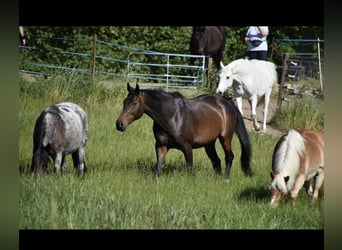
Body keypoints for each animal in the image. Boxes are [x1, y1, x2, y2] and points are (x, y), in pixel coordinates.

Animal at [116, 83, 252, 181]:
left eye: (134, 102)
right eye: (124, 102)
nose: (119, 124)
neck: (172, 116)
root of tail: (227, 104)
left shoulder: (187, 147)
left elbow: (189, 168)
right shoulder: (161, 146)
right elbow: (158, 168)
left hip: (225, 138)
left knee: (229, 157)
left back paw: (226, 179)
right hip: (209, 143)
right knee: (216, 161)